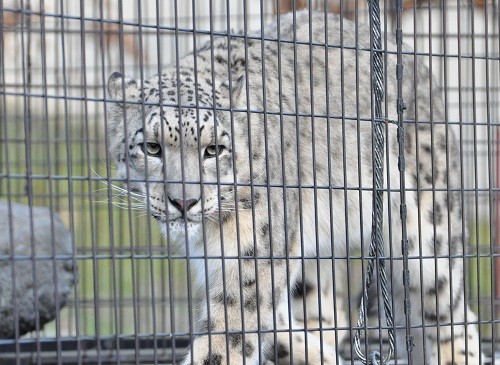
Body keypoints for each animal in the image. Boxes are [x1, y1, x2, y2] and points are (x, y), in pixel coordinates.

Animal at [106, 10, 484, 364]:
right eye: (151, 147)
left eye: (214, 149)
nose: (184, 201)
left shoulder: (254, 252)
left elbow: (227, 336)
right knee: (327, 312)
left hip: (428, 229)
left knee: (452, 311)